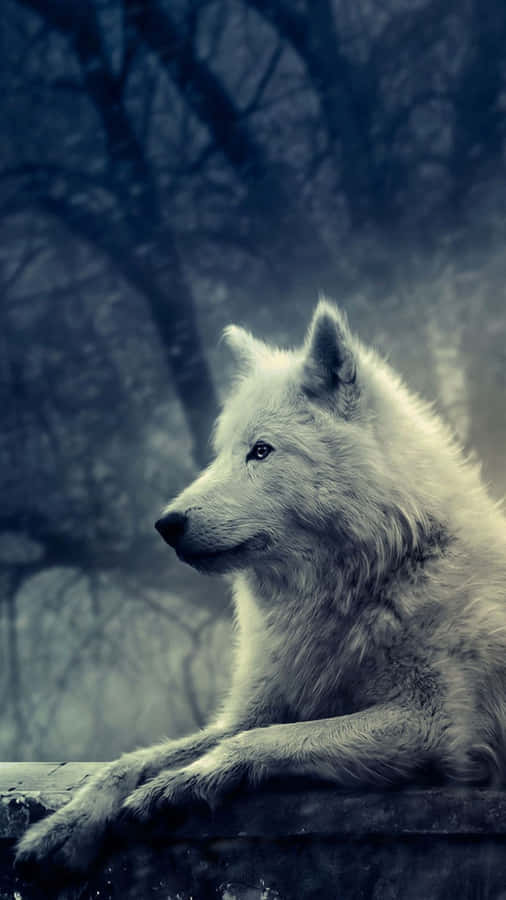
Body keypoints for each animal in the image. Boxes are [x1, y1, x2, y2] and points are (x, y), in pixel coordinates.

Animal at [16, 300, 506, 874]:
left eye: (262, 451)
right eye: (223, 452)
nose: (166, 524)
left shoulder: (435, 726)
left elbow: (264, 740)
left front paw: (185, 781)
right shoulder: (256, 707)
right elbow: (130, 761)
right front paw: (64, 825)